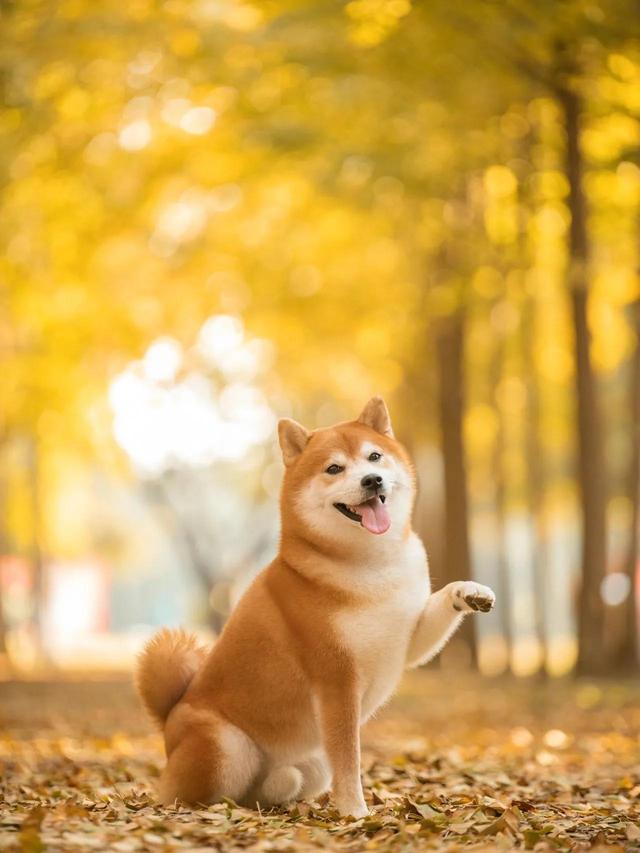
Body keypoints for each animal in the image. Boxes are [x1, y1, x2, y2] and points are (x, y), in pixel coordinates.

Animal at [136, 400, 496, 820]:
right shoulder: (337, 682)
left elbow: (437, 610)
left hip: (310, 764)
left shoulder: (407, 639)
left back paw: (279, 790)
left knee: (269, 787)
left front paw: (469, 592)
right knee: (200, 794)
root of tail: (169, 719)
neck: (371, 566)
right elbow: (348, 759)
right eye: (334, 468)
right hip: (227, 746)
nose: (372, 480)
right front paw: (355, 812)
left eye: (374, 457)